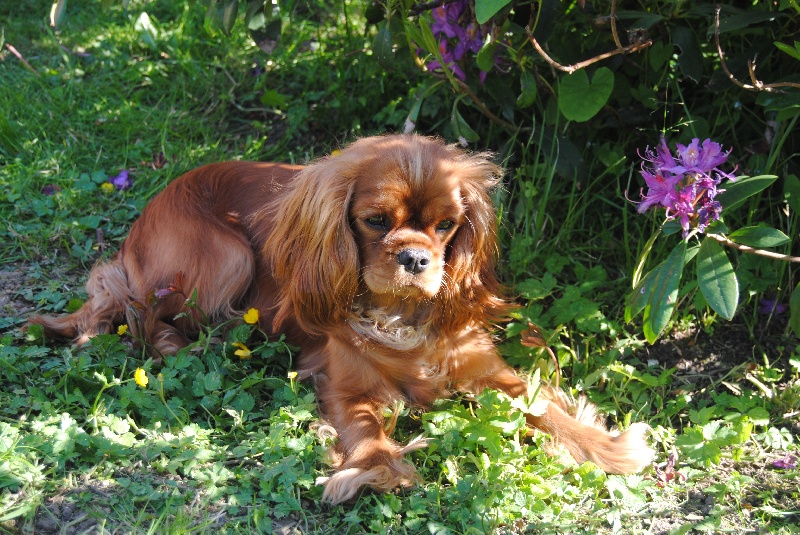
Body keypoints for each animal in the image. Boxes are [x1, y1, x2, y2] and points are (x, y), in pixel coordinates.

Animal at [30, 134, 653, 503]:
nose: (416, 258)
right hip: (222, 257)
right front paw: (377, 469)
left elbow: (545, 407)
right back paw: (180, 347)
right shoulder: (342, 383)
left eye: (447, 226)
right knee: (137, 310)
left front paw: (607, 448)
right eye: (376, 221)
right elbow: (365, 428)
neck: (400, 319)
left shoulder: (489, 372)